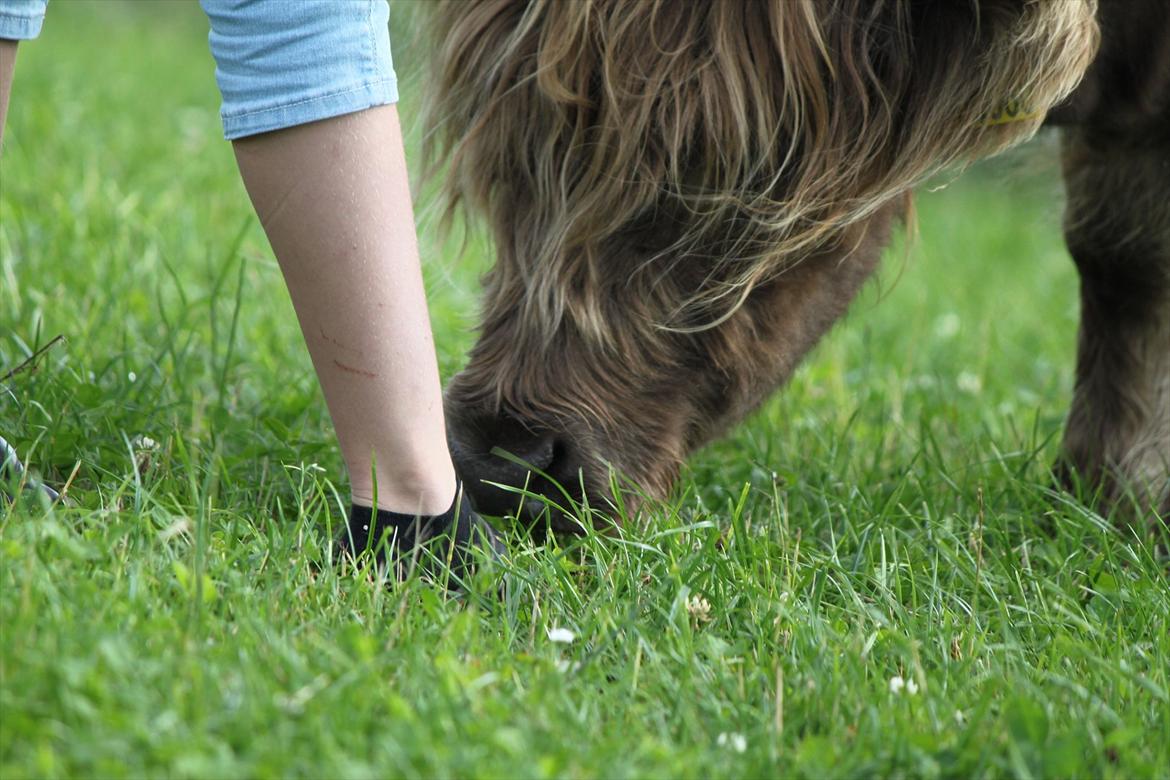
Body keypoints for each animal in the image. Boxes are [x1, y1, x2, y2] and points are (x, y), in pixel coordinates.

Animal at [422, 0, 1168, 533]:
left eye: (751, 181)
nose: (503, 463)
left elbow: (1127, 250)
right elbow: (1116, 250)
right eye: (507, 167)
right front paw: (1110, 493)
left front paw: (1119, 499)